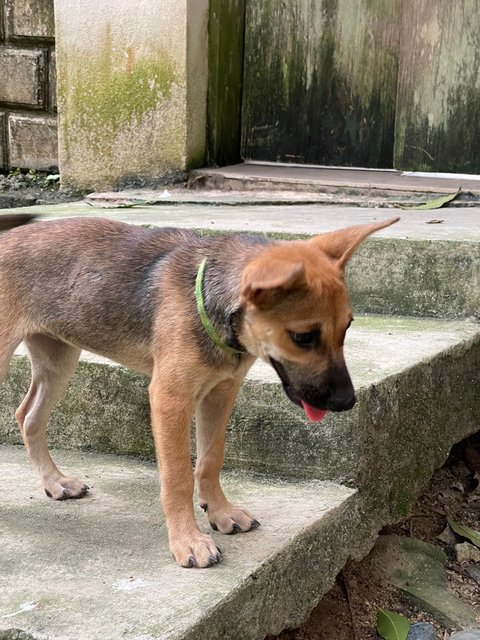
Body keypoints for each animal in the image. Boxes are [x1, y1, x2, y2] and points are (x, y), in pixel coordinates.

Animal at [0, 212, 398, 568]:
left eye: (347, 328)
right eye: (303, 337)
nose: (348, 402)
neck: (206, 301)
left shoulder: (220, 394)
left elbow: (210, 459)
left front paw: (220, 511)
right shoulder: (170, 399)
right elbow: (177, 476)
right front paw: (187, 541)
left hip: (59, 360)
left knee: (27, 416)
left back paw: (55, 482)